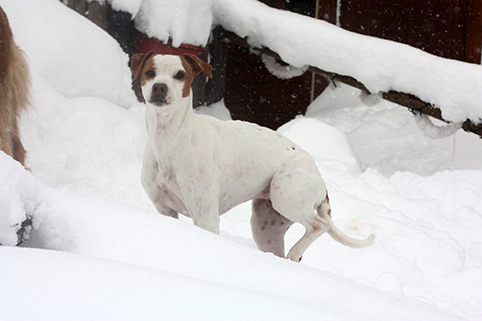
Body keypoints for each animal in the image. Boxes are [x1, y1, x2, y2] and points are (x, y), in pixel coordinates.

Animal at [132, 52, 376, 260]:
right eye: (150, 72)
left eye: (180, 74)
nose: (160, 87)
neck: (170, 139)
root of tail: (319, 176)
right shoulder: (164, 210)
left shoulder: (205, 217)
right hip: (266, 227)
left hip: (286, 196)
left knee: (319, 225)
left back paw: (295, 252)